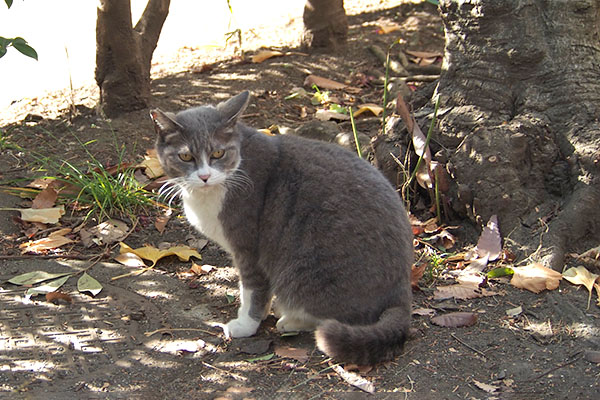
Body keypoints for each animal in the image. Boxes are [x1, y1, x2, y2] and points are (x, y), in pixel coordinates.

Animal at [150, 91, 412, 366]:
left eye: (218, 153)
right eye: (186, 157)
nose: (204, 176)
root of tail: (401, 291)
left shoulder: (249, 248)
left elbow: (252, 289)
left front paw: (245, 324)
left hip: (306, 272)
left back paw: (290, 320)